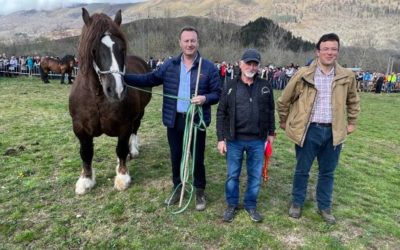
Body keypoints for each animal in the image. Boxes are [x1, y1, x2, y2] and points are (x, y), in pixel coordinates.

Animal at [69, 7, 152, 194]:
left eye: (122, 48)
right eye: (94, 49)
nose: (117, 90)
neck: (98, 98)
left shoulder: (124, 125)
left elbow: (121, 149)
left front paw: (122, 177)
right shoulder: (80, 128)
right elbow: (86, 153)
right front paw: (86, 180)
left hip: (139, 113)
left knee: (135, 130)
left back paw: (133, 150)